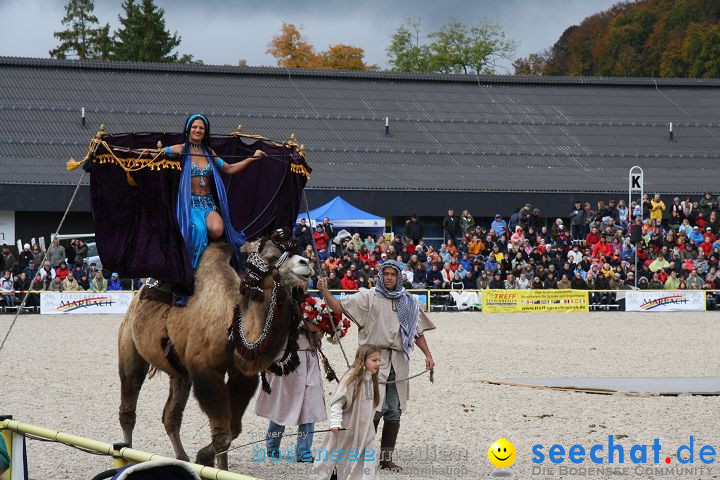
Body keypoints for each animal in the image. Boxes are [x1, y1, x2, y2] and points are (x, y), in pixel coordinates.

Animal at [118, 236, 312, 468]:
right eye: (272, 256)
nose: (306, 263)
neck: (231, 324)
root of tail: (136, 296)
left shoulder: (241, 375)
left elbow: (233, 429)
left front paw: (205, 458)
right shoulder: (207, 372)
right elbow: (222, 435)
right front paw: (216, 465)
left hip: (179, 372)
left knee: (171, 415)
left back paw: (182, 458)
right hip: (129, 344)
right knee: (129, 399)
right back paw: (125, 456)